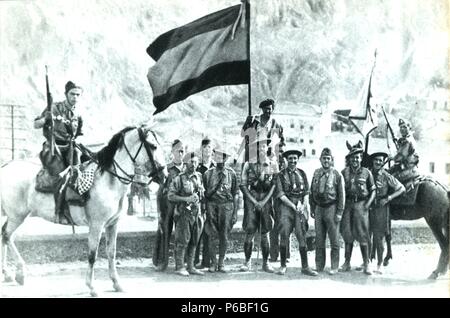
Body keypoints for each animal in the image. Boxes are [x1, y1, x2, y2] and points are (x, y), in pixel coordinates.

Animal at [0, 125, 165, 296]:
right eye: (153, 146)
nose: (163, 173)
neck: (107, 181)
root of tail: (5, 167)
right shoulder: (96, 225)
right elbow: (93, 255)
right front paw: (92, 287)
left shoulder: (113, 224)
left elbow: (112, 253)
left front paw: (117, 283)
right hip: (17, 216)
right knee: (6, 236)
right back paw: (19, 273)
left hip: (14, 216)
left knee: (4, 236)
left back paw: (8, 274)